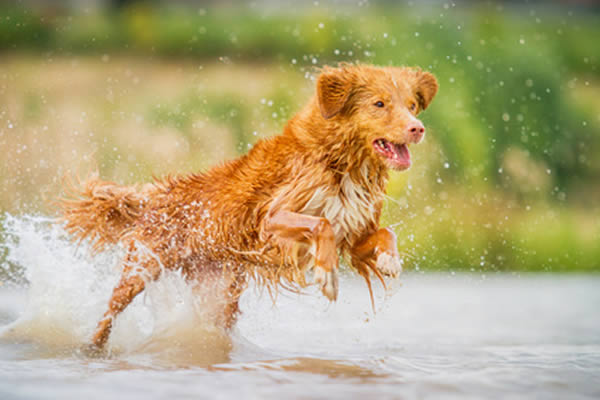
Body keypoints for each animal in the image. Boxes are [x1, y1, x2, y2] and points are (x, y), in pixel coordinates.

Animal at [59, 64, 436, 348]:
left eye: (411, 106)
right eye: (379, 104)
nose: (418, 129)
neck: (343, 163)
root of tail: (159, 193)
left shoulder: (354, 234)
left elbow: (385, 234)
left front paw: (389, 260)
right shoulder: (272, 220)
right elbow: (321, 224)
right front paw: (326, 274)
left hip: (218, 293)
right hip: (141, 268)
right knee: (108, 314)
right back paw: (93, 347)